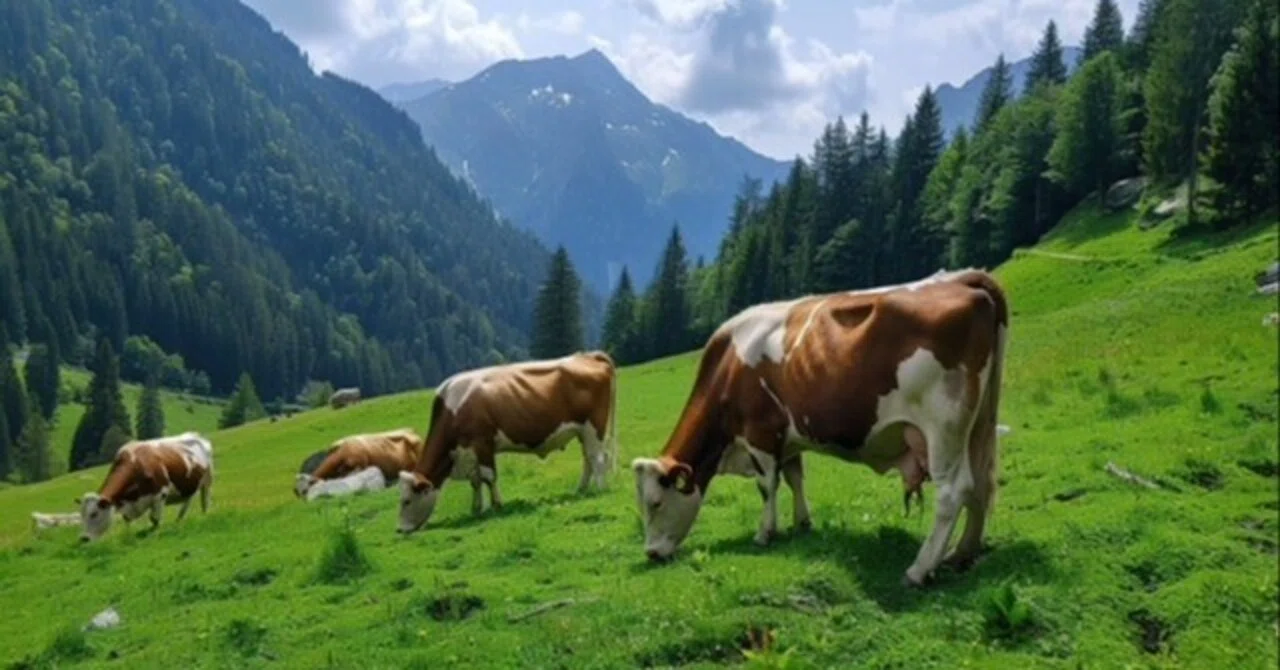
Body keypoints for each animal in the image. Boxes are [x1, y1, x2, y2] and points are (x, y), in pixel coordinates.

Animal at [76, 432, 215, 542]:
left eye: (94, 514)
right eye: (81, 515)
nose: (84, 538)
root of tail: (196, 435)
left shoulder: (160, 495)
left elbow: (154, 519)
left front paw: (155, 532)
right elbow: (127, 520)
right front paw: (129, 535)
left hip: (207, 479)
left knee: (205, 499)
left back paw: (204, 515)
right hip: (189, 485)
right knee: (188, 500)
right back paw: (179, 519)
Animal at [397, 351, 619, 535]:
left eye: (406, 501)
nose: (400, 530)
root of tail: (587, 355)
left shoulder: (482, 443)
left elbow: (488, 477)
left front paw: (497, 505)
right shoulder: (469, 452)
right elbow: (475, 481)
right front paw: (476, 508)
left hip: (594, 427)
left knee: (598, 459)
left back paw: (600, 489)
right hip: (583, 432)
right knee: (588, 459)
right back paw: (581, 489)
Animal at [630, 268, 1008, 588]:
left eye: (655, 503)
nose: (652, 553)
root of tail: (963, 278)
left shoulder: (760, 433)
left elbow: (767, 486)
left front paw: (765, 533)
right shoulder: (787, 439)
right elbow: (795, 477)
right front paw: (802, 523)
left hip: (943, 425)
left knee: (953, 492)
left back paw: (919, 570)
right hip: (977, 426)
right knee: (979, 484)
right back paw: (962, 554)